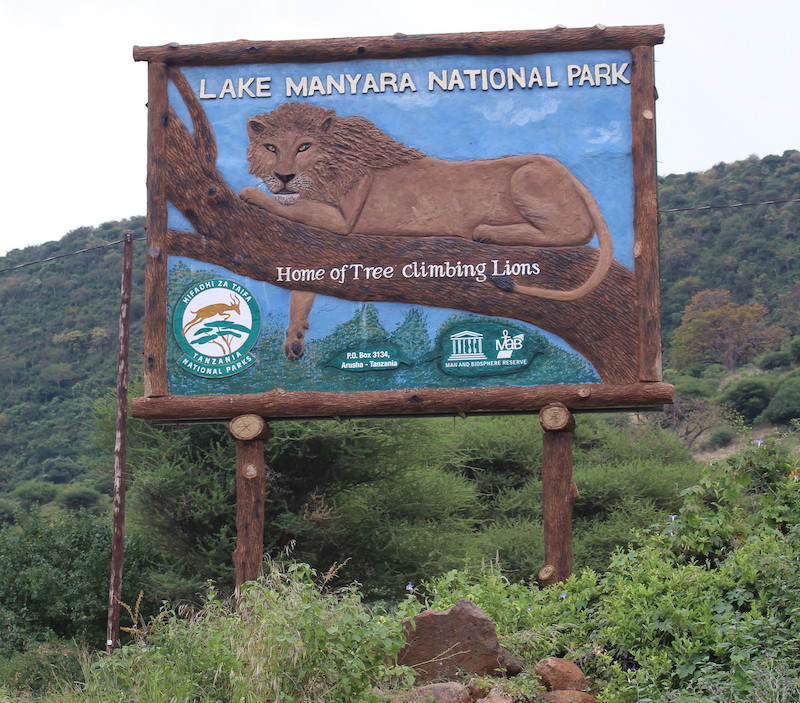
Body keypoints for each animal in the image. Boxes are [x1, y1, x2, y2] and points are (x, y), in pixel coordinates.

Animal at [238, 103, 612, 364]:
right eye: (271, 147)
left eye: (304, 146)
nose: (283, 176)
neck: (331, 163)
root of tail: (569, 172)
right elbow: (303, 288)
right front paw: (294, 339)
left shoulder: (344, 222)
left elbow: (287, 206)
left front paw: (251, 193)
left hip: (528, 174)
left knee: (575, 231)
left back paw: (487, 232)